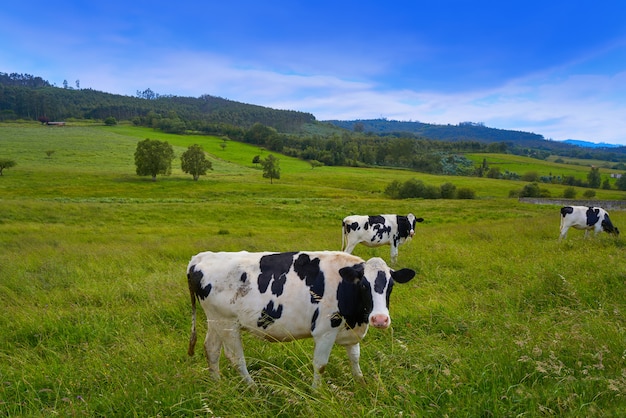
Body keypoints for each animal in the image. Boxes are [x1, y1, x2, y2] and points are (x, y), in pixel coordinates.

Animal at [185, 250, 414, 386]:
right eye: (364, 285)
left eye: (391, 285)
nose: (380, 319)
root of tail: (201, 258)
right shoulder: (324, 331)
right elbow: (320, 364)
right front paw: (317, 392)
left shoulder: (349, 330)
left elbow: (355, 358)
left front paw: (361, 383)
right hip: (227, 323)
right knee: (235, 358)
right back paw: (252, 388)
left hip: (215, 321)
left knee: (211, 349)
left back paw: (216, 384)